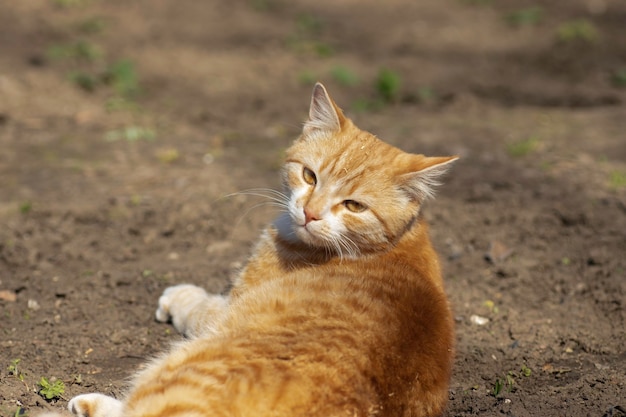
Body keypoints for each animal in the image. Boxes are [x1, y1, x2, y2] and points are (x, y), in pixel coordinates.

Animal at [42, 82, 454, 416]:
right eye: (309, 176)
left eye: (353, 205)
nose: (310, 212)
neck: (387, 245)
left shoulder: (227, 308)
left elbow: (199, 306)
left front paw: (179, 297)